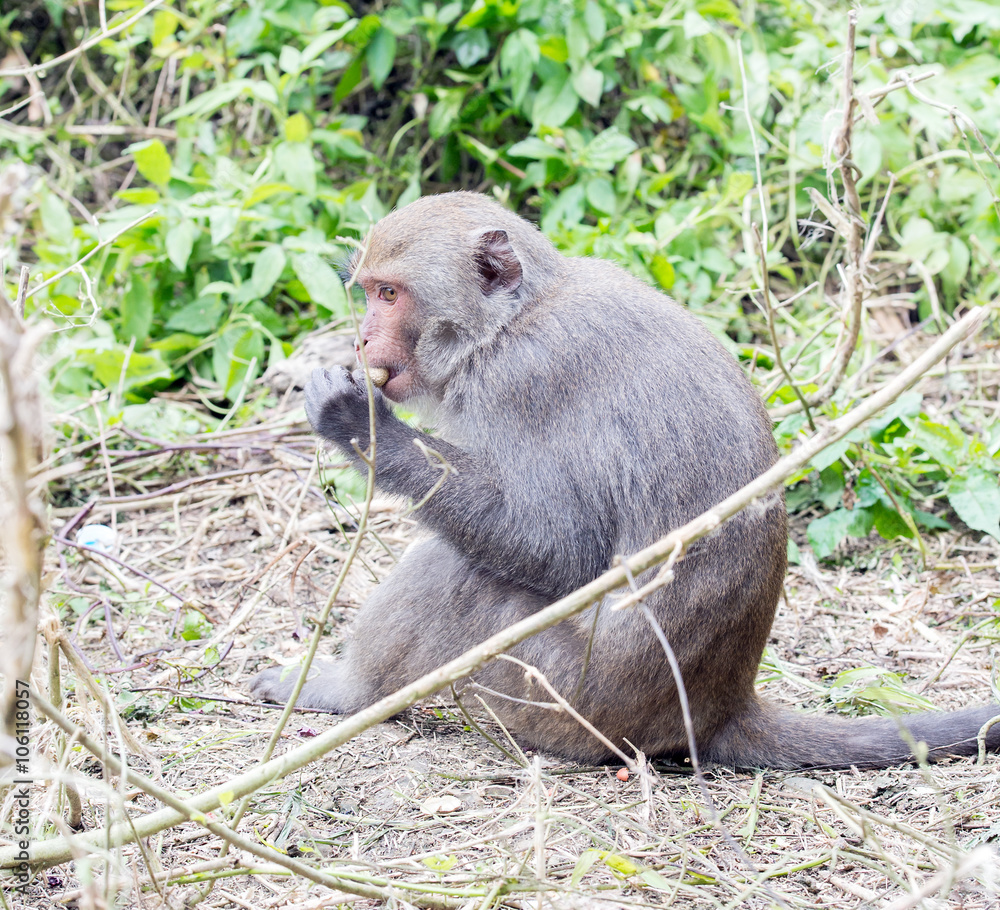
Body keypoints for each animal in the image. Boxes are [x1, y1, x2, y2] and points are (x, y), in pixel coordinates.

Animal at [250, 191, 1000, 768]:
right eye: (368, 293)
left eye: (389, 293)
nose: (362, 341)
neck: (512, 320)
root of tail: (719, 708)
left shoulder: (528, 380)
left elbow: (557, 546)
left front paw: (359, 422)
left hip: (564, 696)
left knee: (457, 570)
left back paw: (347, 691)